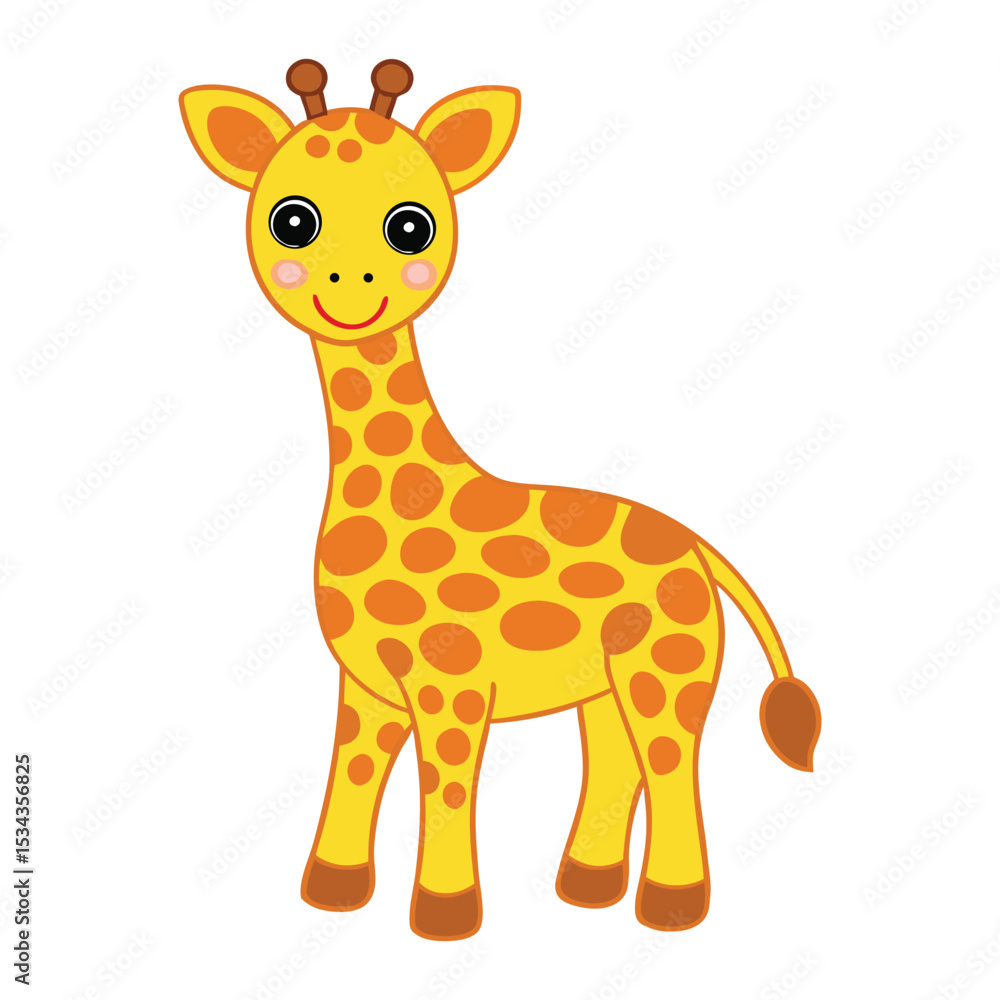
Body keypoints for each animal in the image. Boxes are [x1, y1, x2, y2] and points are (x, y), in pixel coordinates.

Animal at [179, 57, 821, 941]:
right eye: (293, 219)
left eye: (411, 226)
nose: (349, 286)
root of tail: (700, 548)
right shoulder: (368, 683)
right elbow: (353, 772)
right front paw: (333, 893)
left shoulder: (452, 684)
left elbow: (445, 787)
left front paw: (444, 916)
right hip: (603, 678)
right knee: (614, 755)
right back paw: (586, 888)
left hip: (669, 663)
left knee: (671, 759)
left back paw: (670, 907)